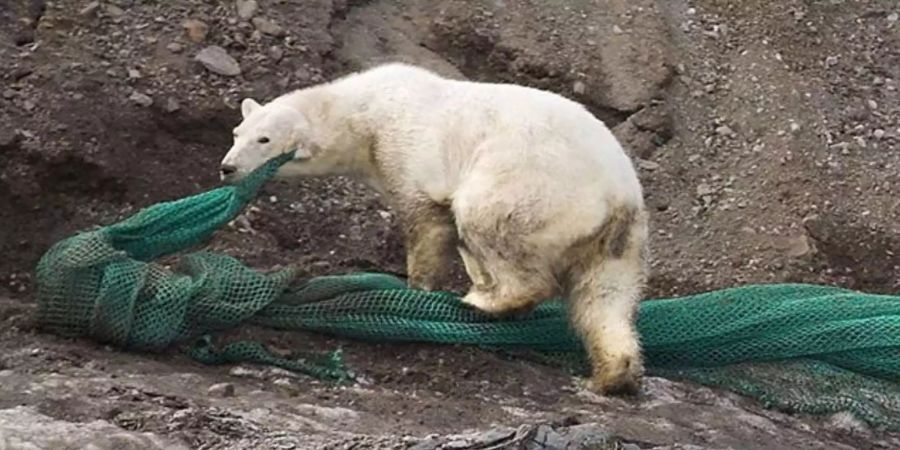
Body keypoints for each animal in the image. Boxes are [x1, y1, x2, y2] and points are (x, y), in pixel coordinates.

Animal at [221, 62, 652, 394]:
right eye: (237, 133)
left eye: (264, 139)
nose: (227, 167)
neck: (363, 110)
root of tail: (617, 195)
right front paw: (475, 277)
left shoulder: (405, 148)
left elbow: (427, 220)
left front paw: (417, 289)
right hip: (620, 240)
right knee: (604, 299)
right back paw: (611, 375)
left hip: (534, 186)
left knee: (489, 219)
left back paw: (483, 302)